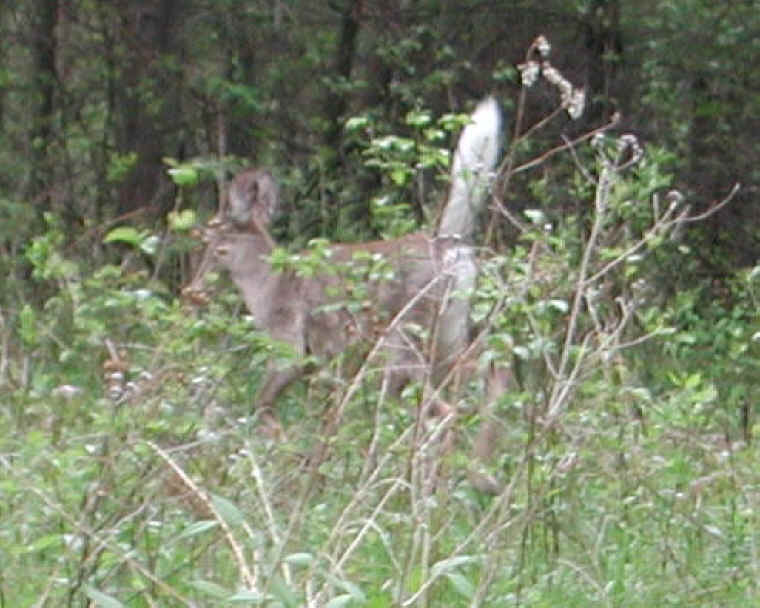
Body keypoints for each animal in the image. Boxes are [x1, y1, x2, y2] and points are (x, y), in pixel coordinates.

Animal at [183, 98, 503, 452]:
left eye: (215, 246)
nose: (194, 290)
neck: (267, 286)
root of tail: (450, 247)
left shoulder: (291, 344)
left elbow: (264, 402)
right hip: (451, 331)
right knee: (484, 378)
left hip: (407, 335)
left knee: (444, 408)